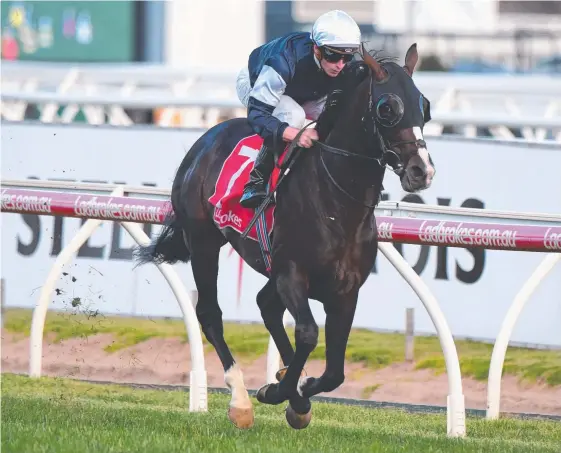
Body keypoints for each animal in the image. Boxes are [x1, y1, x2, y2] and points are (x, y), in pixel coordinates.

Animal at [135, 44, 434, 430]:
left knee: (265, 304)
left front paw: (296, 392)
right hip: (203, 241)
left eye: (424, 105)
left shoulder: (345, 289)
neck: (336, 203)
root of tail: (206, 138)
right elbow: (307, 332)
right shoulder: (292, 273)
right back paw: (241, 399)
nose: (422, 171)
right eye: (387, 108)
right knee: (210, 313)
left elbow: (335, 372)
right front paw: (280, 392)